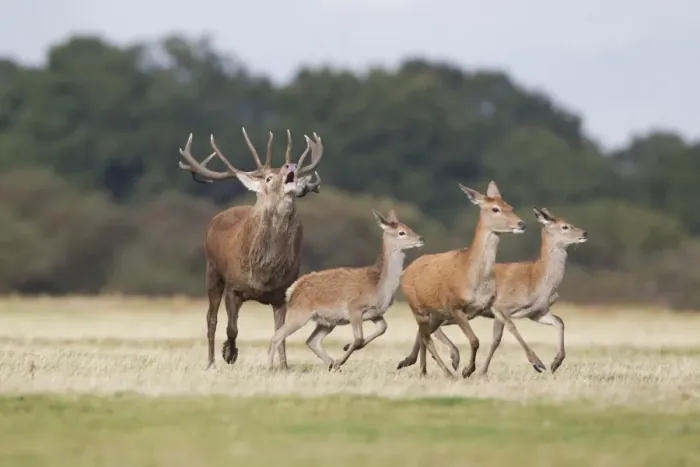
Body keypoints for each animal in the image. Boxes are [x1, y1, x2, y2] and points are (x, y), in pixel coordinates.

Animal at [177, 127, 324, 369]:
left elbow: (281, 332)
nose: (290, 166)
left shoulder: (283, 293)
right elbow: (231, 328)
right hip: (212, 271)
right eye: (268, 177)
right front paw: (229, 353)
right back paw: (211, 363)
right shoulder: (233, 286)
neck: (264, 274)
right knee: (211, 319)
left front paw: (283, 366)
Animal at [267, 209, 424, 371]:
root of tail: (292, 290)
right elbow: (359, 339)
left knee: (311, 340)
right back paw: (270, 368)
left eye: (409, 227)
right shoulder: (354, 307)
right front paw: (341, 357)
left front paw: (343, 351)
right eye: (401, 232)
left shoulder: (375, 313)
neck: (380, 287)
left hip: (327, 321)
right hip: (299, 314)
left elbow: (383, 328)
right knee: (277, 336)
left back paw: (332, 365)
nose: (421, 238)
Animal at [397, 206, 588, 375]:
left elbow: (559, 321)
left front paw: (556, 362)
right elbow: (502, 335)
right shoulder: (501, 306)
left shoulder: (537, 312)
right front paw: (536, 363)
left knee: (426, 330)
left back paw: (416, 363)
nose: (584, 233)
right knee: (428, 330)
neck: (537, 281)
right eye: (565, 226)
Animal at [398, 181, 526, 379]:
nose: (521, 223)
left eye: (510, 206)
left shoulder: (488, 305)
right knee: (426, 337)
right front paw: (467, 370)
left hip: (435, 313)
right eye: (495, 209)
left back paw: (423, 370)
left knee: (424, 336)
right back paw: (447, 372)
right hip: (417, 307)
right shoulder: (455, 305)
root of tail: (404, 272)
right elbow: (474, 340)